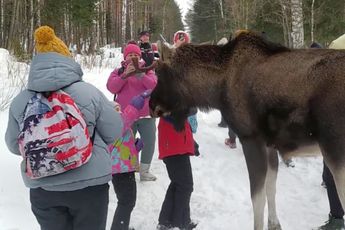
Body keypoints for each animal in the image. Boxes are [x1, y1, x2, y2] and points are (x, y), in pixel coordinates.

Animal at [148, 29, 345, 229]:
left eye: (158, 72)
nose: (151, 105)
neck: (217, 90)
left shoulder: (251, 139)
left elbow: (257, 199)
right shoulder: (270, 145)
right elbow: (271, 188)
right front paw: (275, 224)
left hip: (334, 152)